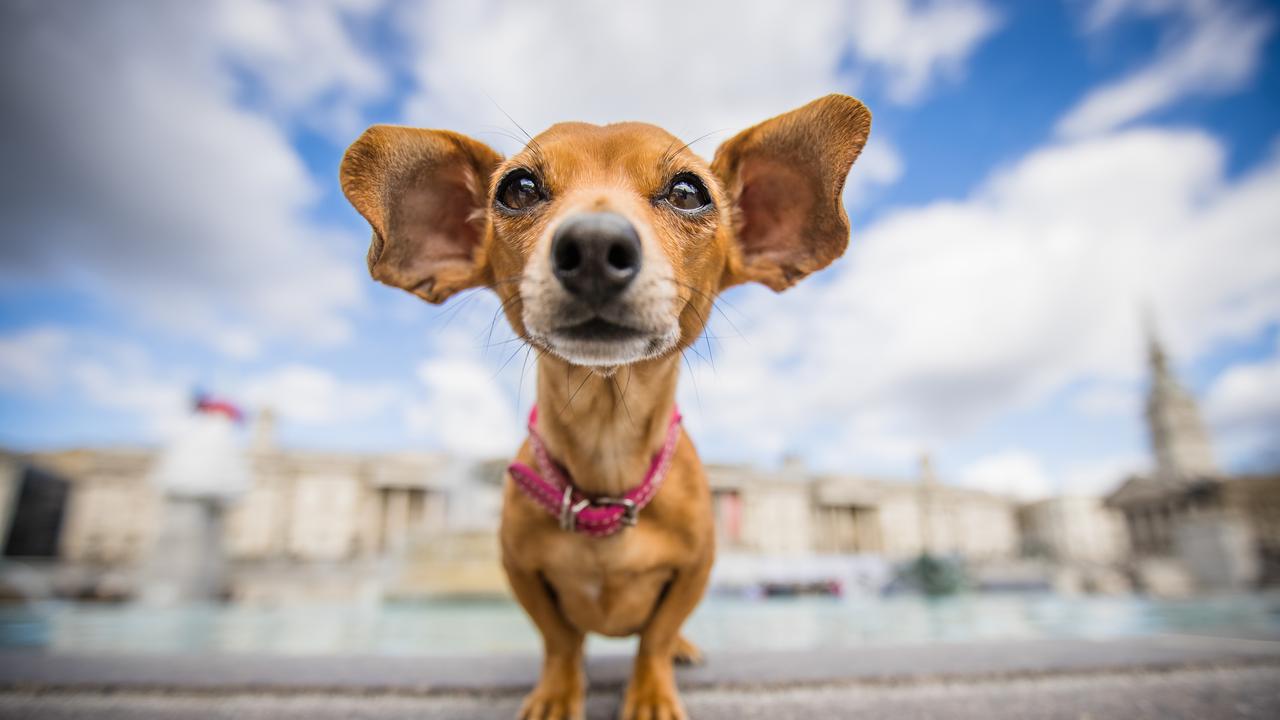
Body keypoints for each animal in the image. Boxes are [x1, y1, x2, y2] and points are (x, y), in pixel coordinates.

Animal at [343, 95, 870, 717]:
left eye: (688, 191)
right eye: (518, 188)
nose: (594, 245)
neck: (607, 454)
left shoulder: (696, 570)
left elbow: (657, 636)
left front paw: (652, 692)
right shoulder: (521, 571)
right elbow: (560, 639)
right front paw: (557, 692)